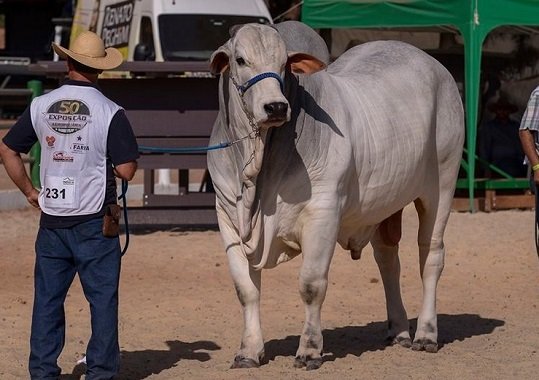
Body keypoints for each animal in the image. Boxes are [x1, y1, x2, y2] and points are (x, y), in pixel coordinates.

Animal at [207, 22, 464, 370]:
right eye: (240, 59)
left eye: (284, 64)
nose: (276, 107)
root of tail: (434, 64)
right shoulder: (228, 219)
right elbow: (245, 289)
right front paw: (248, 351)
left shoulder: (323, 214)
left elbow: (311, 285)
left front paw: (309, 350)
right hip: (385, 204)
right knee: (387, 259)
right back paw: (398, 329)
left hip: (441, 188)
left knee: (431, 257)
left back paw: (425, 334)